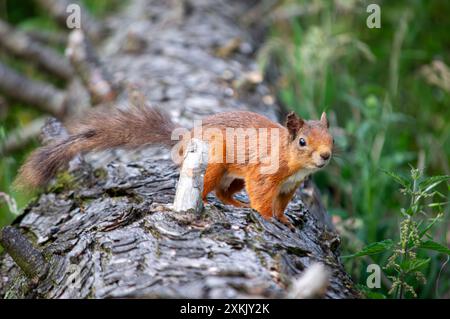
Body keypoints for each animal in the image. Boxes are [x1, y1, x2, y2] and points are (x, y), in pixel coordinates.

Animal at [15, 107, 332, 230]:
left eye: (331, 139)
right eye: (302, 141)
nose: (326, 156)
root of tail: (185, 139)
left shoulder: (289, 187)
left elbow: (281, 203)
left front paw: (284, 220)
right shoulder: (264, 173)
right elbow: (263, 196)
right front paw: (266, 218)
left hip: (230, 176)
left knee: (224, 192)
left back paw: (236, 204)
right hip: (213, 163)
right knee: (208, 190)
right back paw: (209, 203)